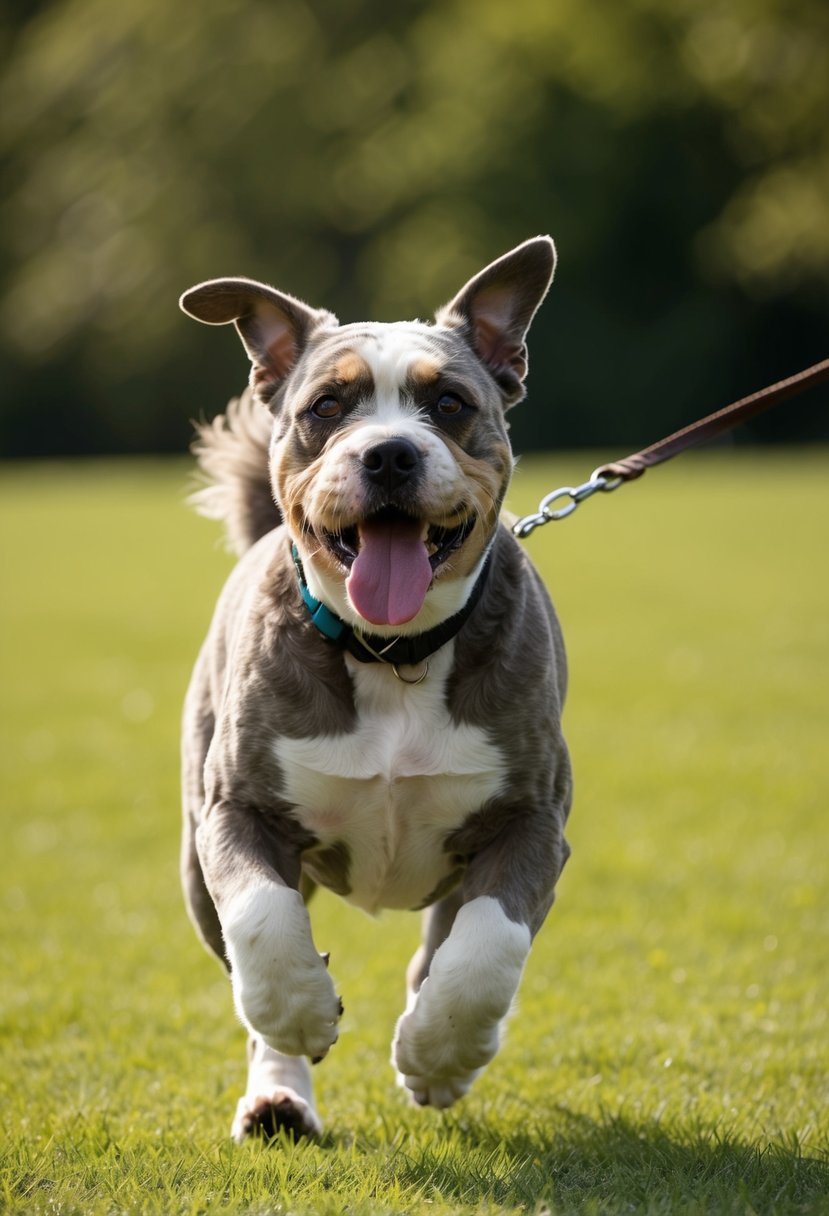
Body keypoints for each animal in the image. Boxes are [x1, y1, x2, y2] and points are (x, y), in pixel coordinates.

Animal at [178, 237, 571, 1138]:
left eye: (451, 403)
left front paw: (439, 1054)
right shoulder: (235, 806)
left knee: (445, 938)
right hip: (191, 857)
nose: (389, 452)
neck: (392, 655)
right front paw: (298, 1013)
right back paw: (279, 1096)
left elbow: (487, 946)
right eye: (327, 406)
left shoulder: (531, 817)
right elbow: (262, 922)